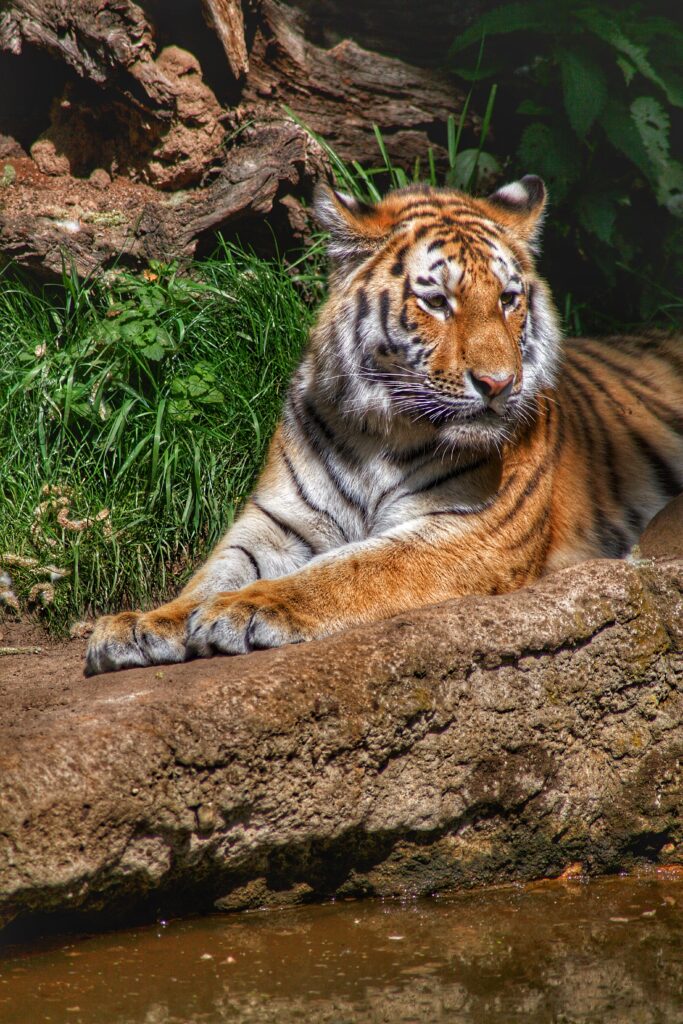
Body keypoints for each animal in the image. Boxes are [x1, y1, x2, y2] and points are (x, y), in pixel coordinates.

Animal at [85, 175, 683, 676]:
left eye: (509, 300)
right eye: (437, 302)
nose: (499, 384)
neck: (378, 434)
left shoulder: (470, 531)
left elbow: (350, 568)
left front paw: (245, 607)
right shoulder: (277, 520)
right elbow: (216, 569)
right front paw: (142, 623)